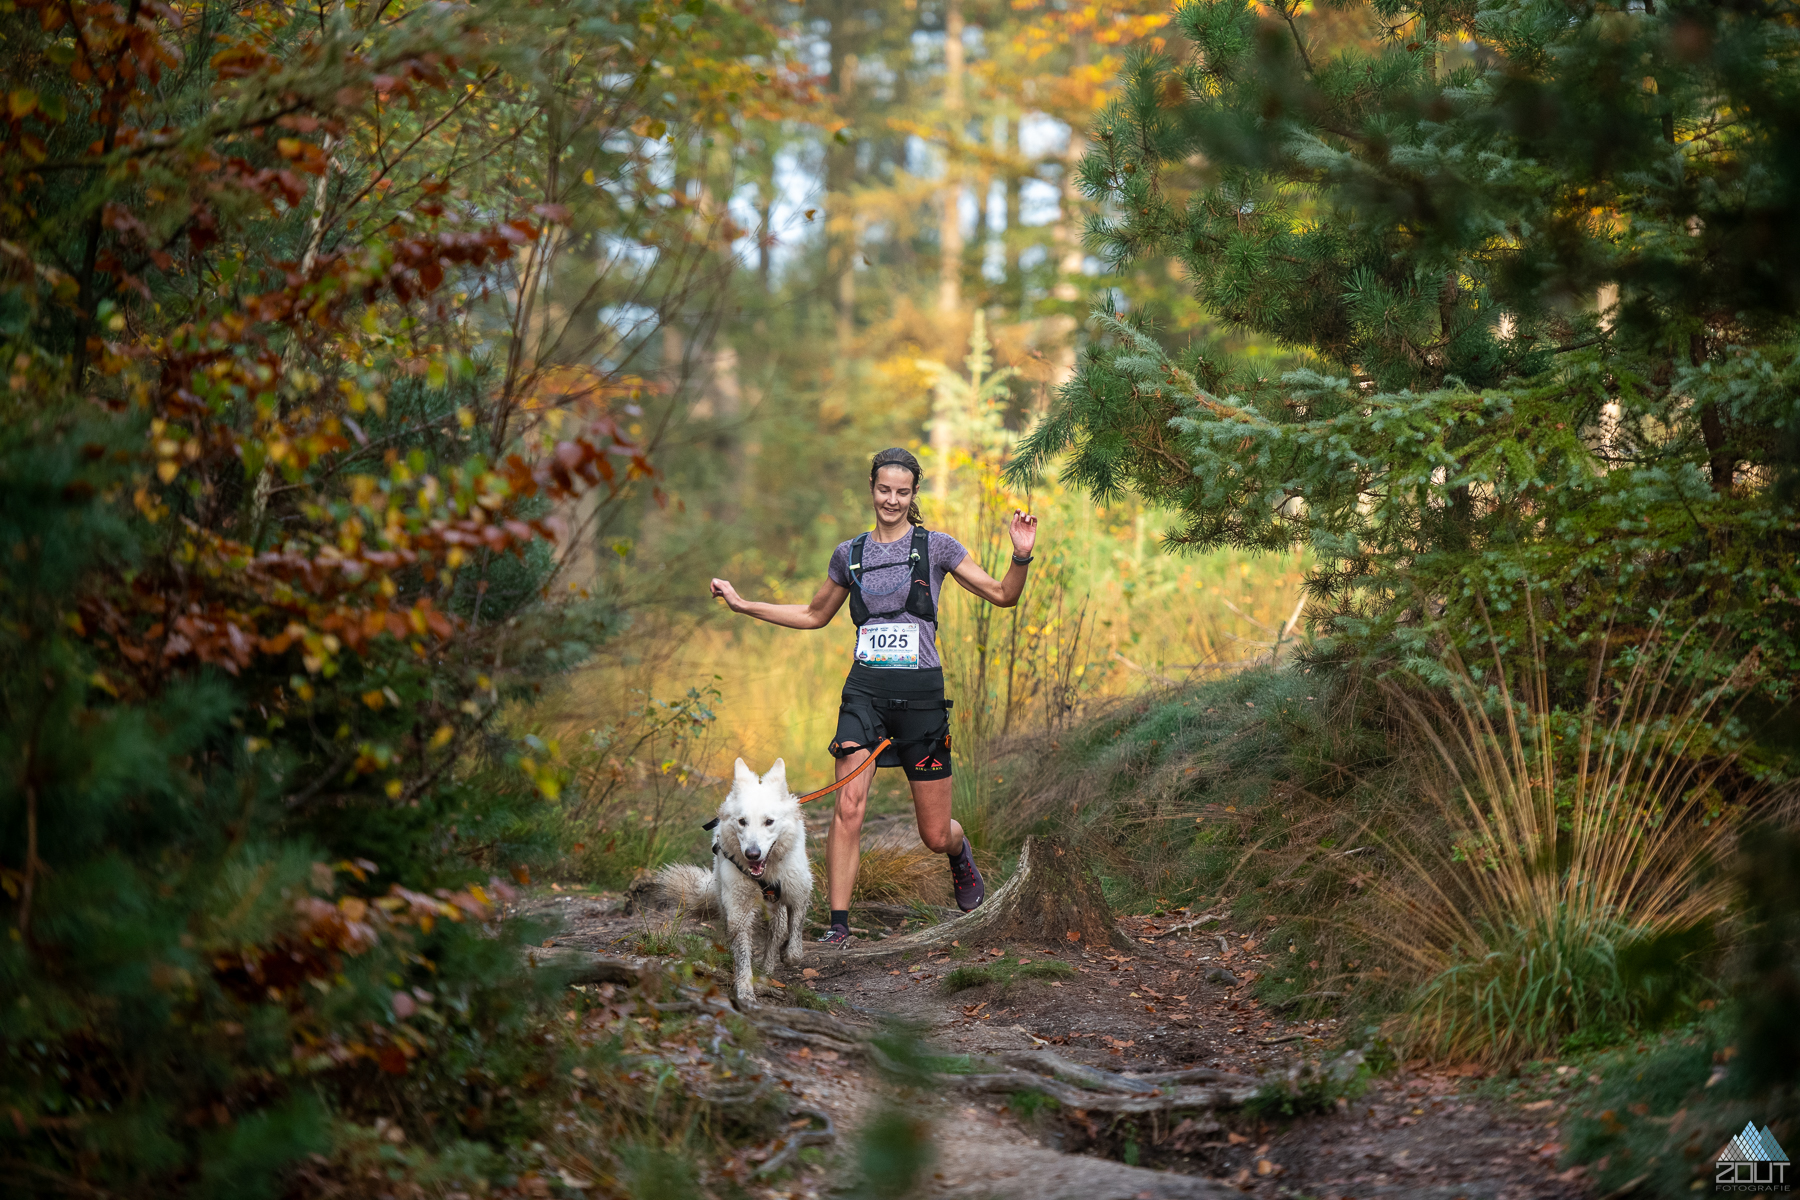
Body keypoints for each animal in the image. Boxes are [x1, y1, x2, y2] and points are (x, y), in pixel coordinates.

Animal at [651, 759, 813, 1007]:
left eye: (769, 822)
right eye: (742, 822)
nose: (752, 854)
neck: (765, 875)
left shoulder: (799, 894)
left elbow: (795, 945)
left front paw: (787, 953)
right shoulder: (739, 912)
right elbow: (743, 957)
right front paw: (745, 992)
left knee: (775, 934)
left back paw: (768, 970)